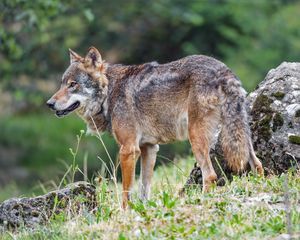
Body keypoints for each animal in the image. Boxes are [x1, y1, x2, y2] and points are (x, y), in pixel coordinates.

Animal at [46, 47, 262, 208]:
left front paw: (125, 213)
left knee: (210, 176)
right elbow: (144, 187)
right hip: (239, 133)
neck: (110, 92)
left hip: (196, 139)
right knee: (257, 163)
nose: (49, 104)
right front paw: (142, 209)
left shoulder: (128, 150)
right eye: (62, 84)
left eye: (73, 84)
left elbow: (126, 190)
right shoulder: (148, 148)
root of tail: (224, 71)